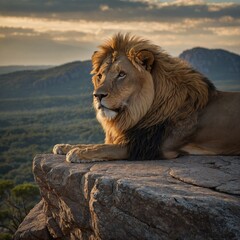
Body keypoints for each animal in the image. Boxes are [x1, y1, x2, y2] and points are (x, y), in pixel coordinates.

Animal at [53, 32, 240, 162]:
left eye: (121, 74)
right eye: (100, 76)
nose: (97, 95)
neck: (138, 111)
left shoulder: (150, 147)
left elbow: (104, 148)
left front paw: (78, 153)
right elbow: (98, 144)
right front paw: (64, 146)